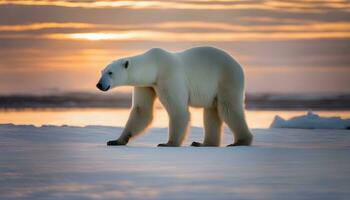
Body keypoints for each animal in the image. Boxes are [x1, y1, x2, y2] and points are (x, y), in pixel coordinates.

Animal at [97, 47, 253, 147]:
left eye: (110, 73)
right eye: (102, 71)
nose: (99, 85)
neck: (154, 65)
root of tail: (239, 65)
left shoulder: (169, 76)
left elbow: (178, 110)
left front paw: (168, 143)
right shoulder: (146, 85)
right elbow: (142, 111)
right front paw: (116, 140)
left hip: (227, 78)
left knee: (228, 109)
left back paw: (240, 141)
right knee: (211, 112)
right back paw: (203, 143)